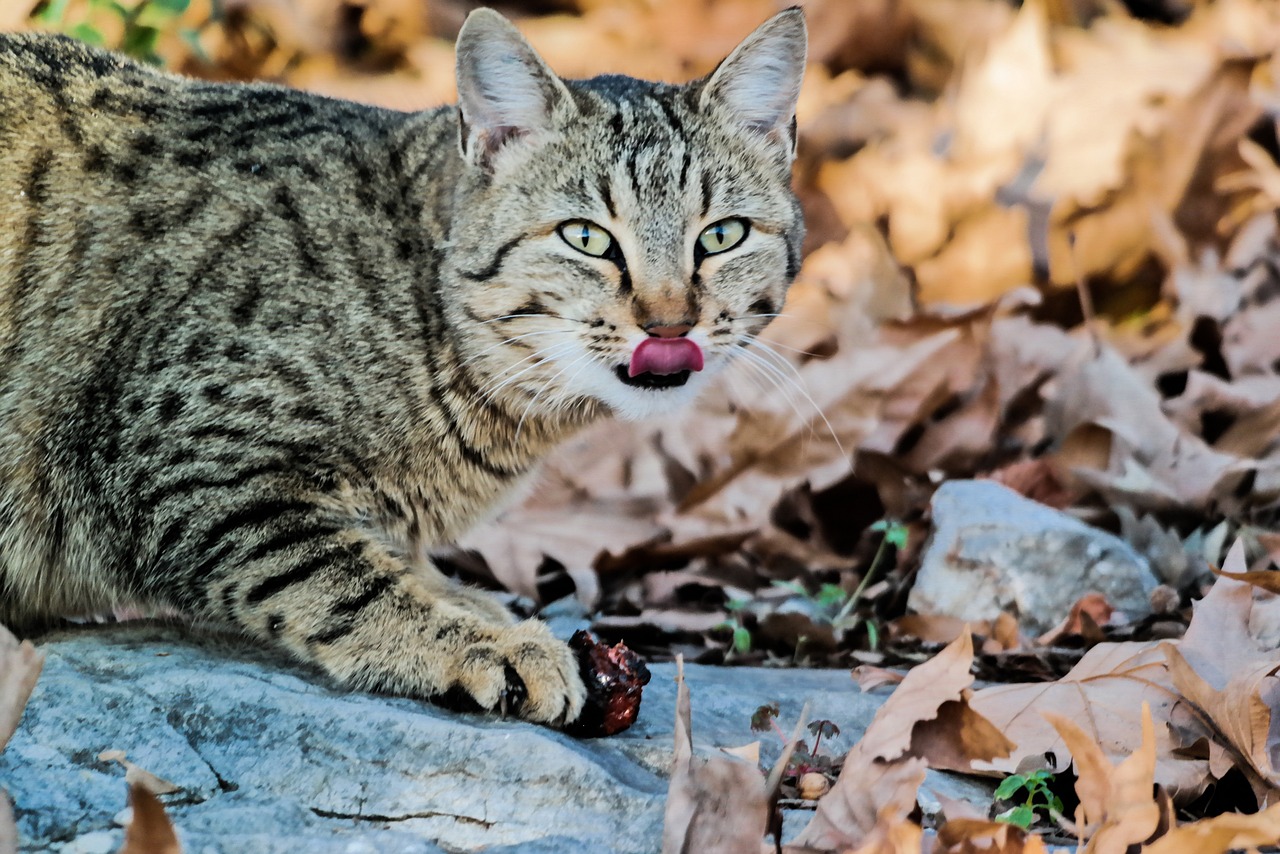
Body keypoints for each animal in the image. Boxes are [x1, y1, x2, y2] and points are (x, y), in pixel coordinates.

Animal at [0, 6, 803, 727]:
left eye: (723, 236)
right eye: (587, 238)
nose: (670, 324)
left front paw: (482, 608)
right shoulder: (183, 465)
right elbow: (338, 577)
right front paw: (481, 644)